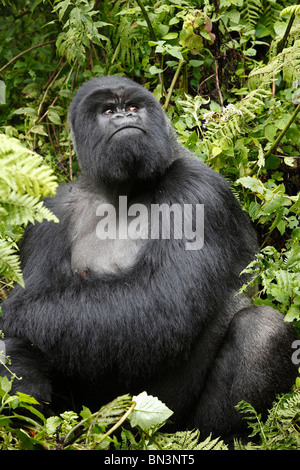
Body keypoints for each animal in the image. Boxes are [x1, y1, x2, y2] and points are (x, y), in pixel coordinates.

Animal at [0, 75, 296, 438]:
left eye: (133, 106)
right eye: (108, 110)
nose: (124, 117)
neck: (122, 192)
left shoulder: (198, 189)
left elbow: (163, 302)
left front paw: (11, 316)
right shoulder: (51, 210)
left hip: (172, 425)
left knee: (261, 330)